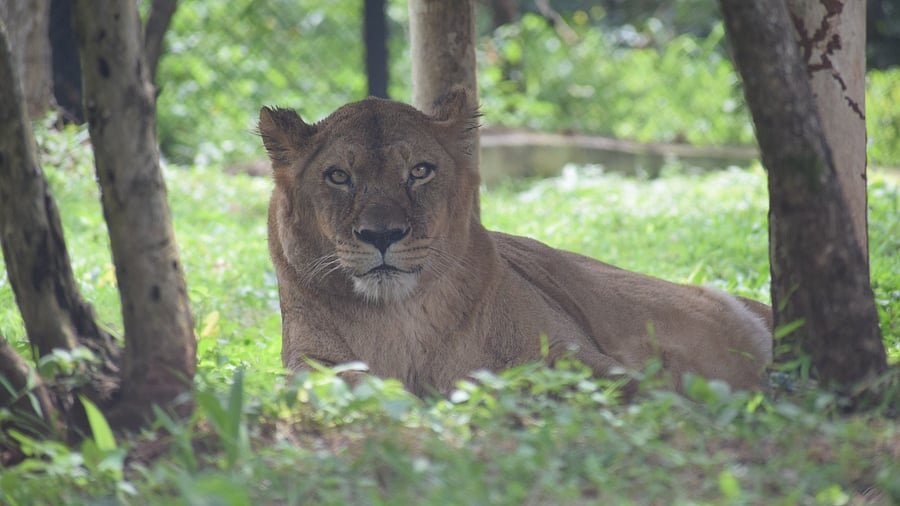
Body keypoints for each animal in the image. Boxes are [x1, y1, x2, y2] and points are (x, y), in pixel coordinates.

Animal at [258, 89, 772, 397]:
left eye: (420, 171)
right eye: (338, 177)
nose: (381, 235)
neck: (398, 318)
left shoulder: (583, 360)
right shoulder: (310, 364)